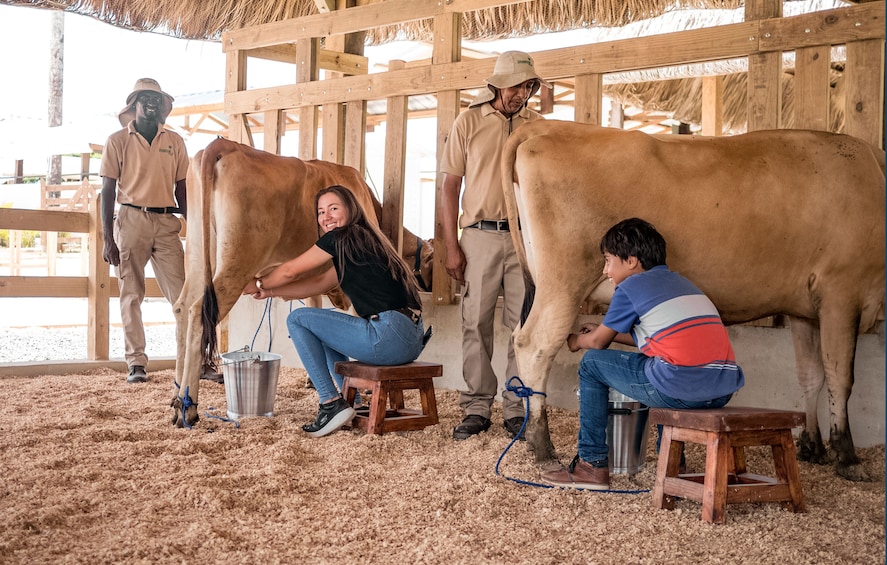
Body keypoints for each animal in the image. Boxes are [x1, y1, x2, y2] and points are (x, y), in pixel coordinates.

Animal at [171, 138, 434, 428]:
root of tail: (223, 145)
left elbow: (312, 305)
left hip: (197, 253)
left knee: (181, 308)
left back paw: (176, 399)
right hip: (236, 262)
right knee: (199, 311)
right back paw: (188, 409)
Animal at [502, 120, 884, 480]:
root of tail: (547, 126)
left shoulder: (804, 309)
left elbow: (811, 375)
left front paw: (813, 446)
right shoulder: (841, 291)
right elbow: (840, 376)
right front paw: (848, 457)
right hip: (564, 281)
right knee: (534, 344)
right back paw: (542, 445)